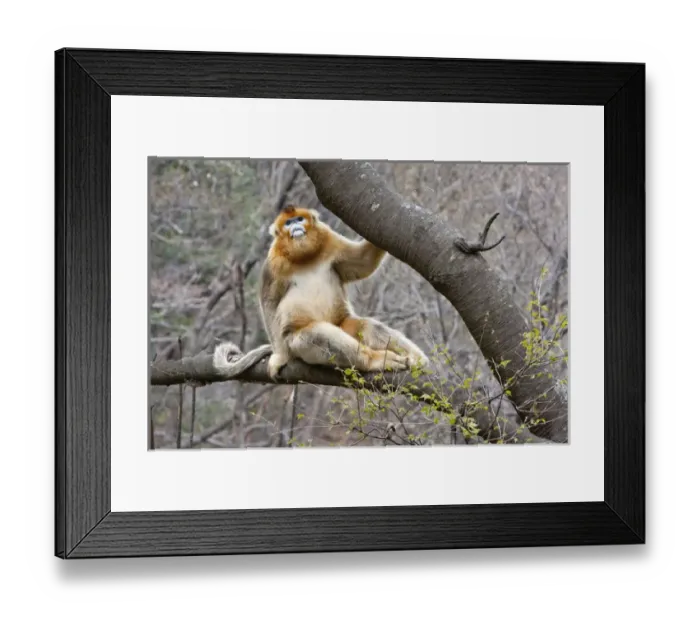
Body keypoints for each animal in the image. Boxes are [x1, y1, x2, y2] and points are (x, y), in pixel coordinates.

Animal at [213, 205, 430, 380]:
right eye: (288, 223)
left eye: (299, 219)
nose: (295, 227)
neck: (304, 256)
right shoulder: (272, 263)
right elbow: (269, 304)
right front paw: (279, 358)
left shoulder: (329, 239)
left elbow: (363, 261)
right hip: (294, 344)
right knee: (315, 335)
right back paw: (375, 360)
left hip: (342, 323)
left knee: (368, 327)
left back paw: (416, 358)